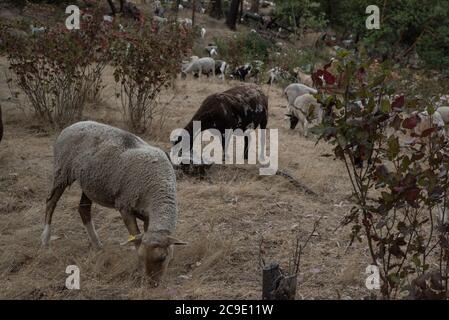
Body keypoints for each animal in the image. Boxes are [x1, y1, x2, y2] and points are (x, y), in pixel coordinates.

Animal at [40, 121, 184, 282]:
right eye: (142, 257)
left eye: (163, 258)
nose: (152, 283)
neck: (158, 188)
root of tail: (71, 126)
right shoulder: (125, 207)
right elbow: (135, 239)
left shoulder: (148, 217)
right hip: (62, 171)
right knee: (50, 202)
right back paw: (45, 239)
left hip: (89, 183)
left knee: (83, 209)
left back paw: (97, 244)